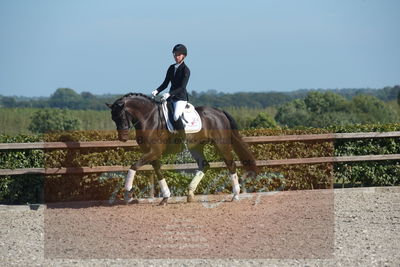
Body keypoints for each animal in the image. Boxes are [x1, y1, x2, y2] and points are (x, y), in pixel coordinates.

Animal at [106, 93, 256, 206]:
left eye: (121, 116)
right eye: (113, 118)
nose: (123, 138)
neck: (149, 119)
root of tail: (219, 112)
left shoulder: (154, 152)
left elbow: (133, 166)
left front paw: (128, 193)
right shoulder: (152, 154)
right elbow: (158, 172)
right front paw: (165, 197)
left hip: (221, 144)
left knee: (231, 164)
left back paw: (235, 195)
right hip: (196, 146)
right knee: (204, 165)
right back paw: (190, 193)